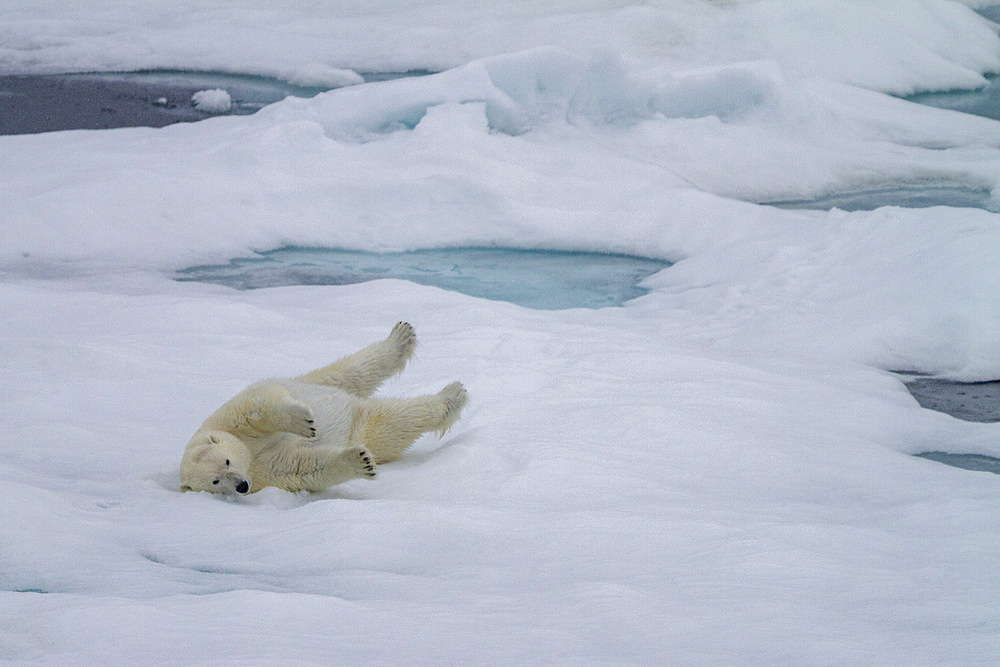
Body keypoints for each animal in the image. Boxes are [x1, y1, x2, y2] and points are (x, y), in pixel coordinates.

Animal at [181, 324, 468, 496]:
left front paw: (304, 423)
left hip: (316, 383)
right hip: (361, 426)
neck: (249, 455)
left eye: (226, 461)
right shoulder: (264, 475)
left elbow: (260, 406)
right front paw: (362, 462)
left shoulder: (229, 419)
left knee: (350, 370)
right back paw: (451, 397)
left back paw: (402, 339)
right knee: (392, 422)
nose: (241, 485)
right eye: (215, 482)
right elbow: (304, 467)